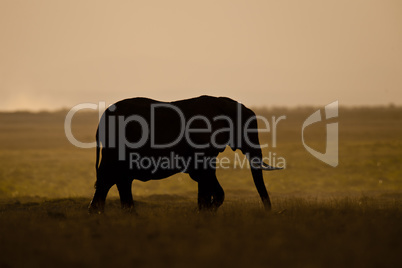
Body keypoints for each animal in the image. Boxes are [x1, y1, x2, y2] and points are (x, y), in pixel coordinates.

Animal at [88, 95, 282, 213]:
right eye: (248, 131)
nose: (268, 211)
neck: (223, 104)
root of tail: (101, 119)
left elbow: (203, 177)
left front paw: (205, 212)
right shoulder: (202, 141)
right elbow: (205, 175)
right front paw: (207, 211)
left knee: (117, 180)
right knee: (110, 178)